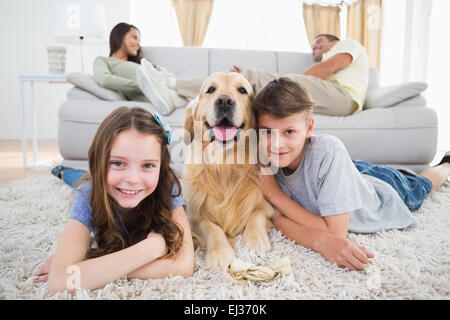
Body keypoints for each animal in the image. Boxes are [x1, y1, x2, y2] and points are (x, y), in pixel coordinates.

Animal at [183, 72, 274, 270]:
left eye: (242, 90)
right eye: (210, 89)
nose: (225, 101)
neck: (224, 163)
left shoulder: (267, 206)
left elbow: (256, 215)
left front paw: (255, 242)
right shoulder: (193, 215)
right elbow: (212, 227)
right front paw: (220, 252)